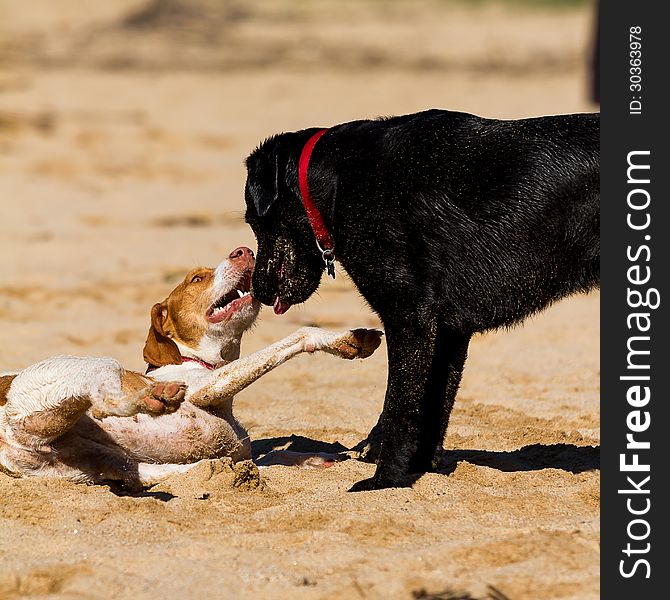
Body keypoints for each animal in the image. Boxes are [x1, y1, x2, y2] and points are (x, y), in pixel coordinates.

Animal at [0, 247, 384, 488]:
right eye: (196, 279)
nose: (245, 250)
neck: (195, 360)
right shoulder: (208, 387)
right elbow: (298, 335)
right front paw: (343, 340)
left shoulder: (239, 449)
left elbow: (268, 456)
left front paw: (317, 456)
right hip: (85, 375)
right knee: (110, 397)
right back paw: (154, 396)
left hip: (107, 464)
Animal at [244, 110, 600, 490]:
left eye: (253, 220)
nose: (258, 291)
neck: (336, 181)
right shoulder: (448, 331)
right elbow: (432, 406)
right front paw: (419, 469)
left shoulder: (409, 317)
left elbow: (400, 407)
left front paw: (383, 481)